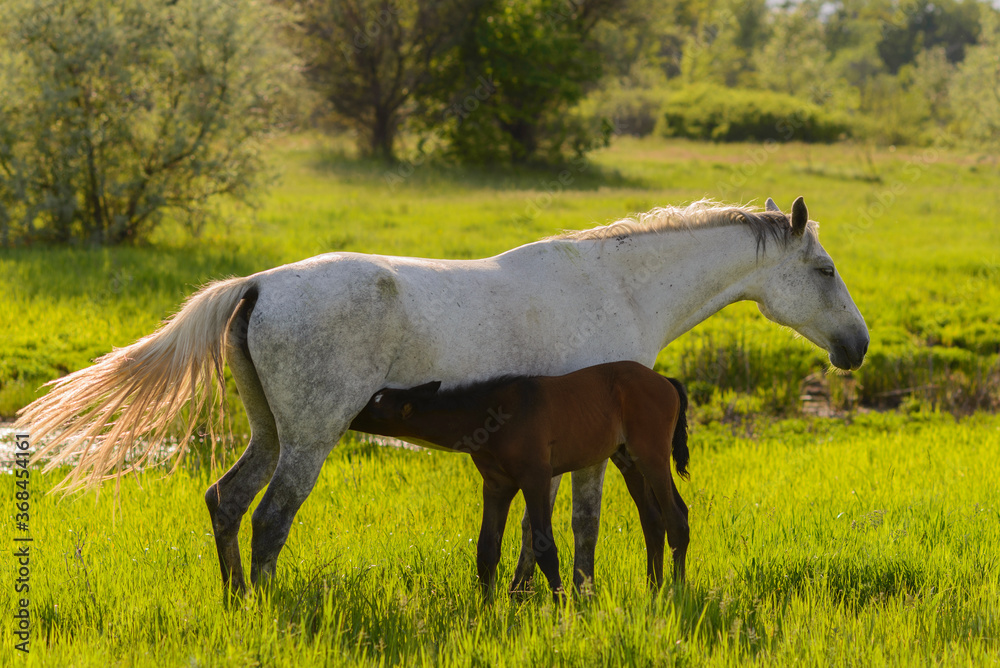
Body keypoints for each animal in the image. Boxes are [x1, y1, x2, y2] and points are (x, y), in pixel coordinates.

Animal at [350, 362, 688, 596]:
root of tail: (666, 381)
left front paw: (562, 609)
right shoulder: (496, 487)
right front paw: (484, 612)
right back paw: (654, 588)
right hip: (627, 460)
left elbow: (544, 547)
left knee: (676, 517)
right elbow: (486, 550)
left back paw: (677, 590)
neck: (491, 416)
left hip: (652, 457)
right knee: (653, 520)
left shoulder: (536, 478)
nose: (351, 414)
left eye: (376, 406)